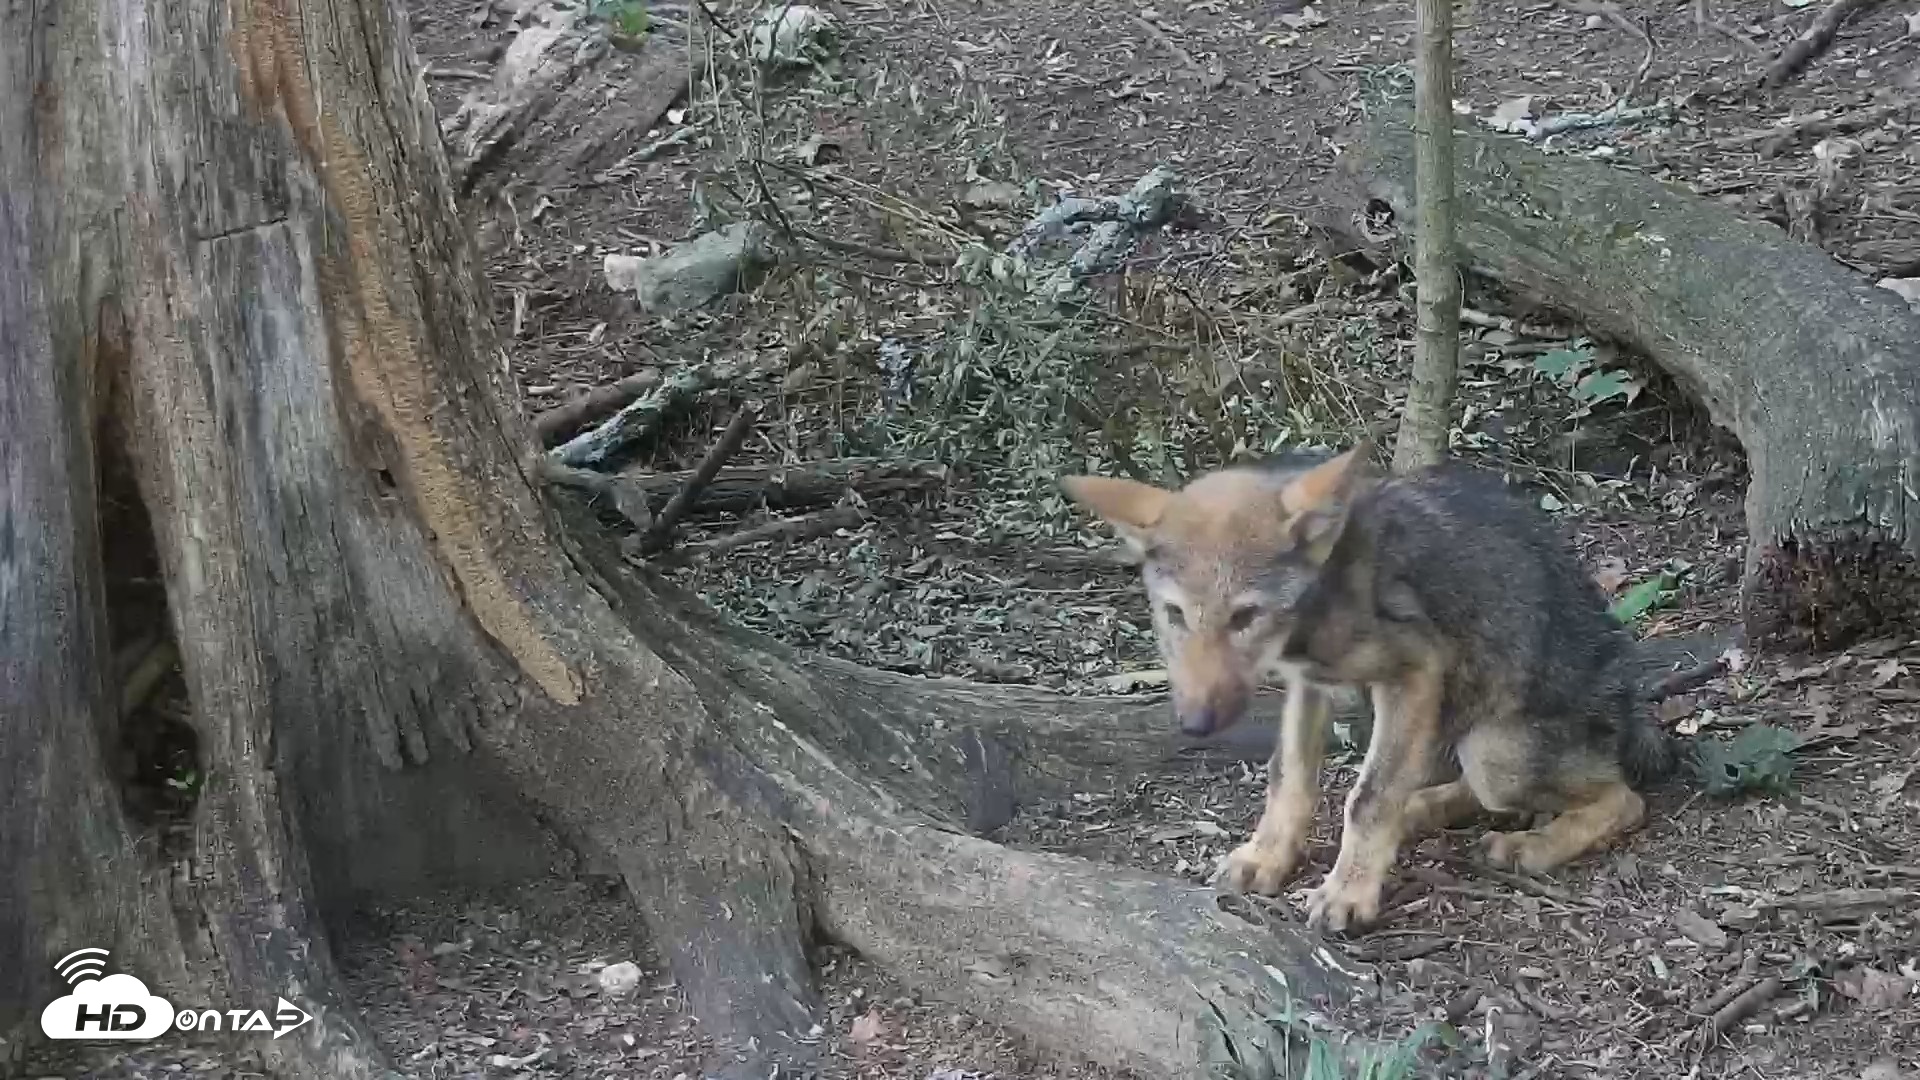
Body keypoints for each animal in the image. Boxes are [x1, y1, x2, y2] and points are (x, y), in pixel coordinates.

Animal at [1061, 440, 1678, 931]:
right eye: (1175, 615)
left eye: (1245, 617)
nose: (1194, 725)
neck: (1316, 606)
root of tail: (1632, 709)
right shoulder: (1307, 685)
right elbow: (1289, 778)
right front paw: (1268, 857)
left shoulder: (1415, 669)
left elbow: (1369, 798)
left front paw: (1348, 891)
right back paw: (1425, 808)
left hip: (1496, 752)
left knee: (1624, 798)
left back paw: (1532, 844)